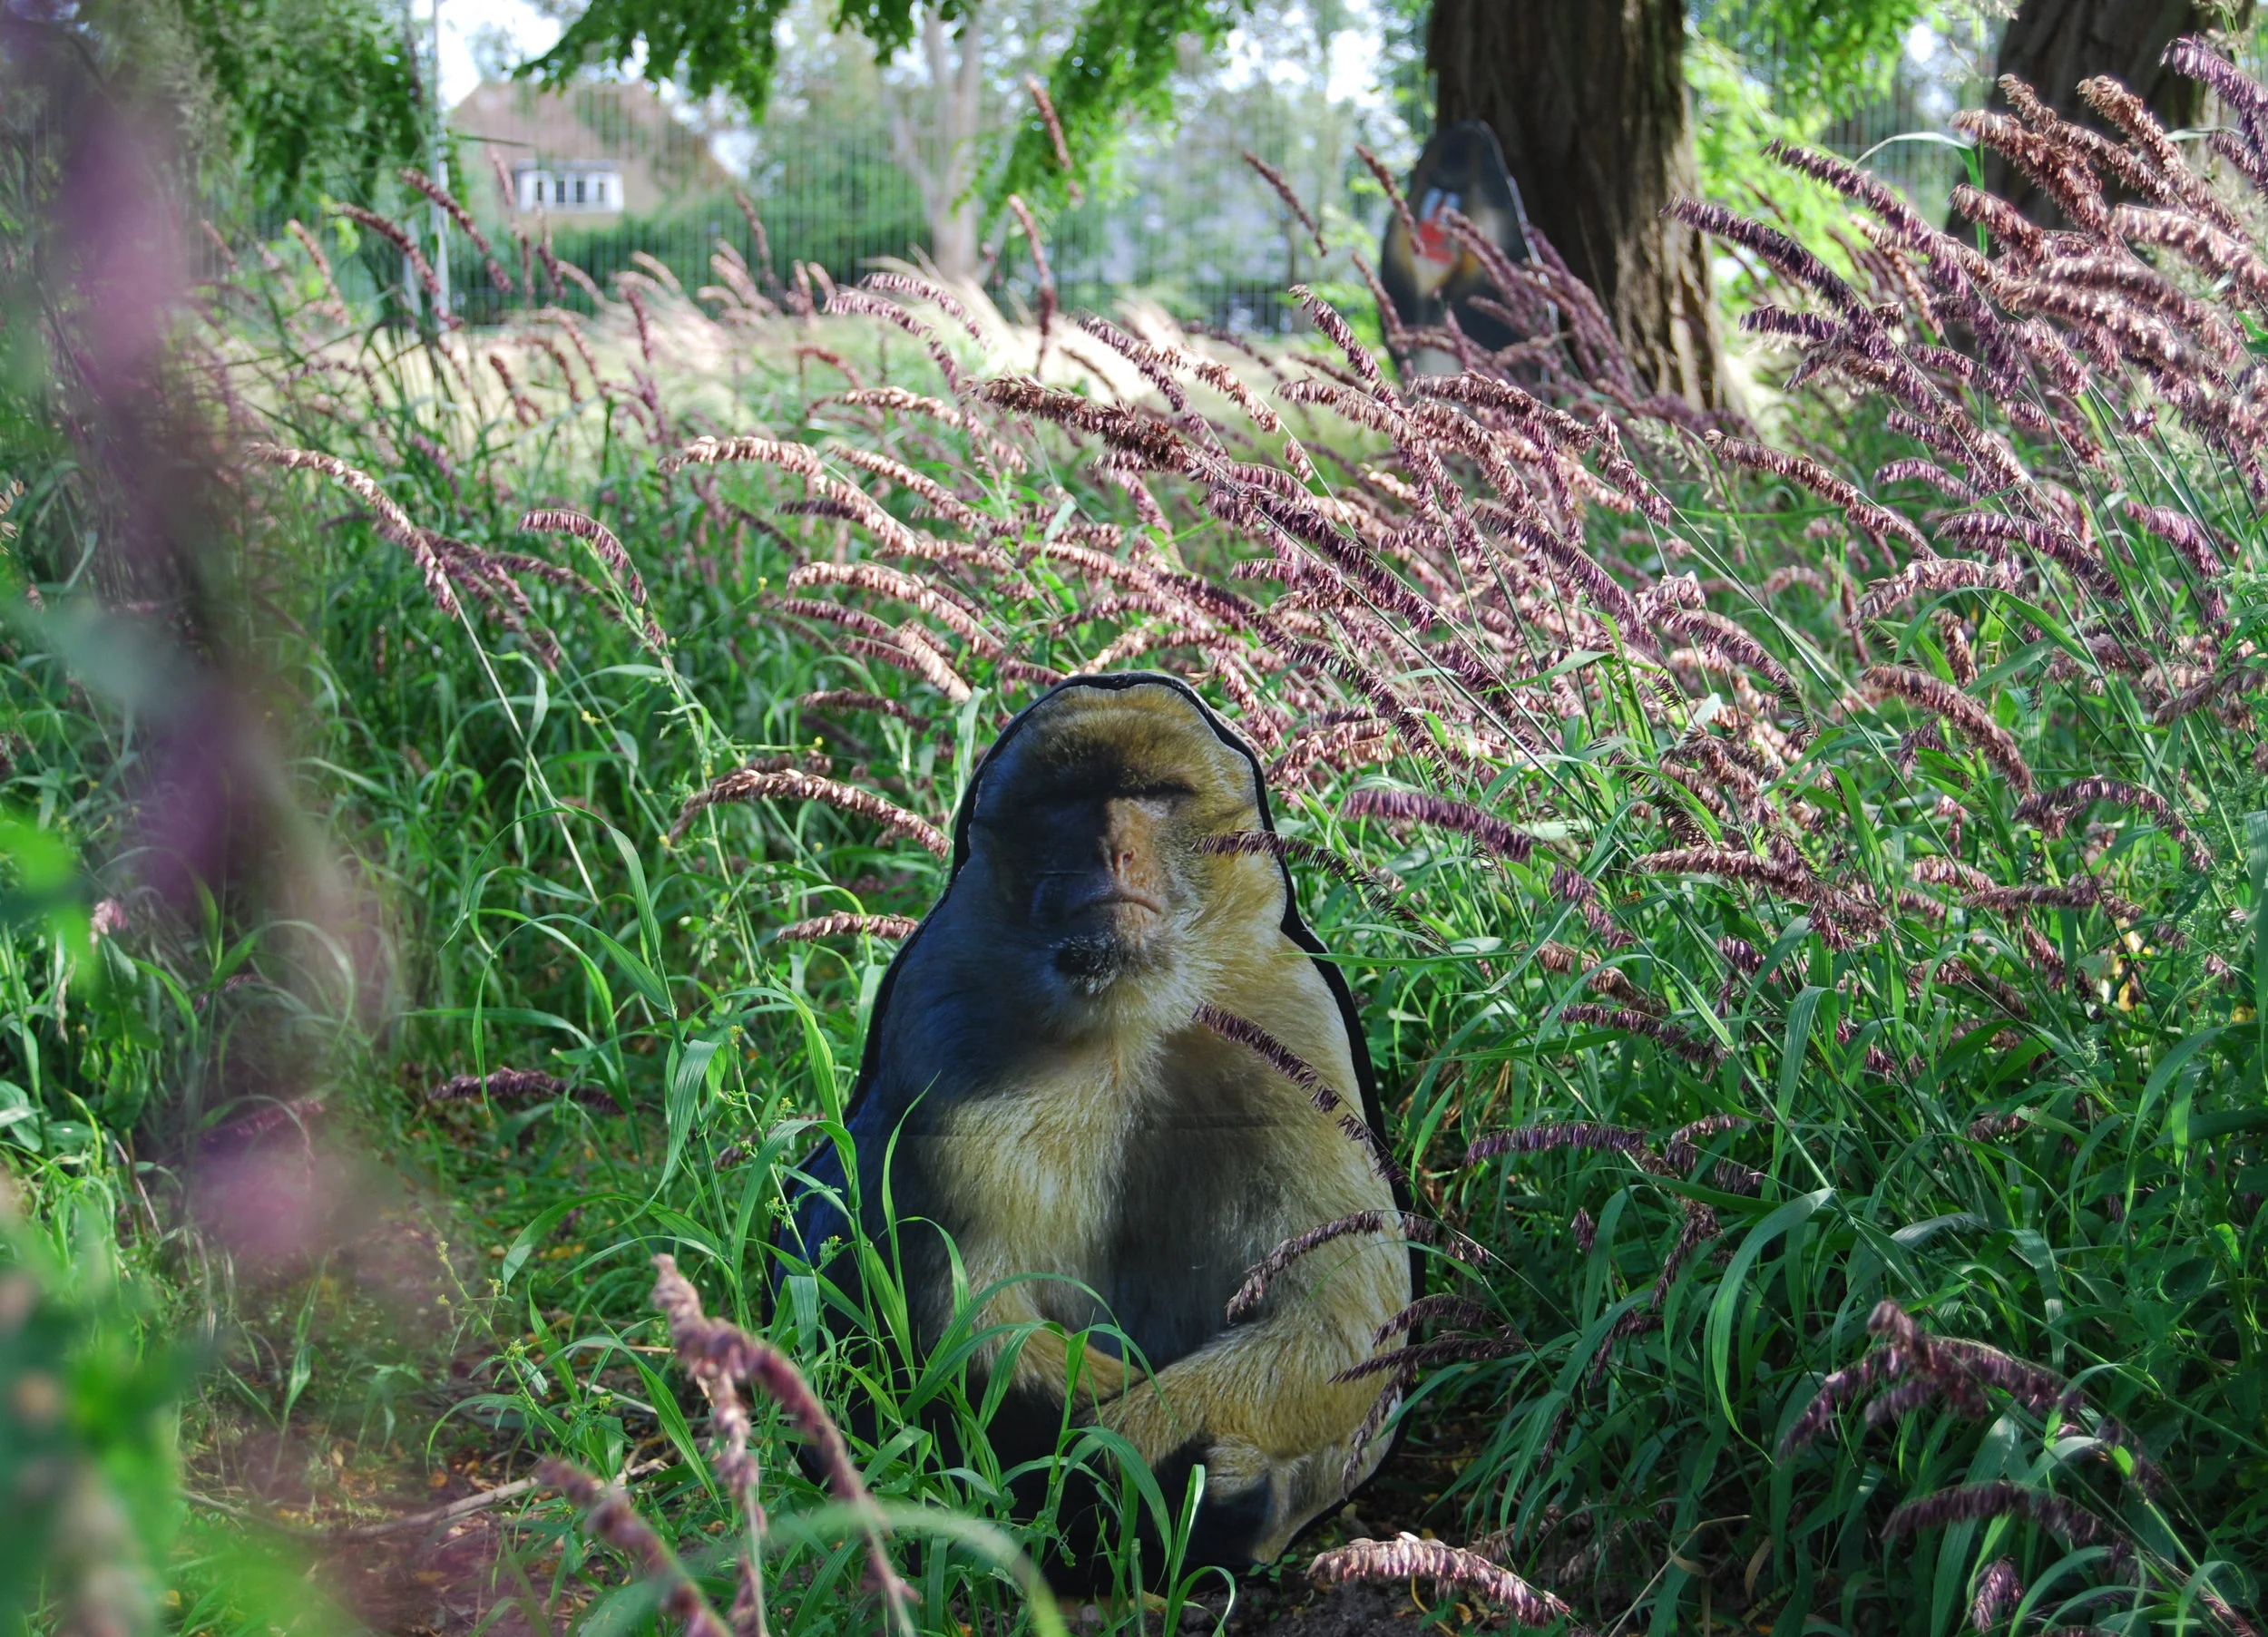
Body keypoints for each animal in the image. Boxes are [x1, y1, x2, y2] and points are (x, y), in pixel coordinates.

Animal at [781, 673, 1411, 1585]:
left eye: (1155, 794)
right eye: (1068, 801)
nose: (1112, 852)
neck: (1122, 1012)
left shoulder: (1293, 1023)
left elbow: (1342, 1316)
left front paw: (1126, 1447)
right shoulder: (943, 1009)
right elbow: (961, 1307)